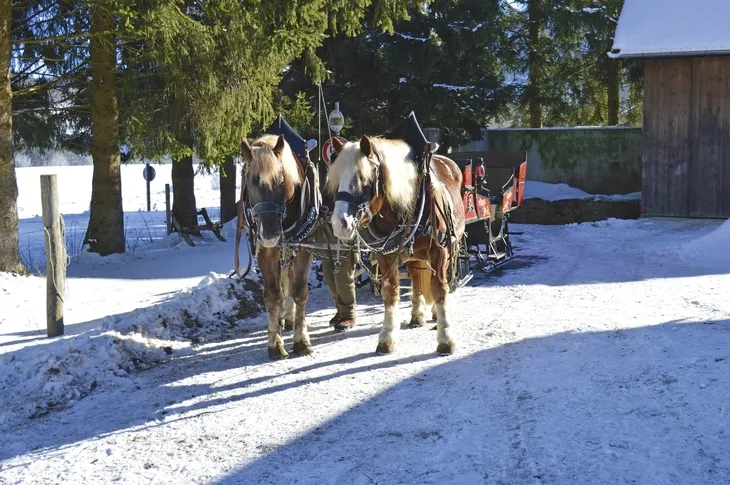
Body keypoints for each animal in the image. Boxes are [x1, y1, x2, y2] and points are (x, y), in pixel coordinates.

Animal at [239, 133, 316, 360]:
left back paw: (289, 317)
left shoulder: (304, 247)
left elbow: (300, 291)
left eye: (281, 180)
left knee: (289, 280)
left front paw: (301, 340)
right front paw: (275, 344)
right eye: (250, 182)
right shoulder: (266, 251)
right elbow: (272, 295)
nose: (270, 234)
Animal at [326, 135, 466, 355]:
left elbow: (440, 290)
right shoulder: (386, 255)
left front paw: (445, 338)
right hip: (412, 254)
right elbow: (390, 292)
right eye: (338, 178)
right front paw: (387, 337)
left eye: (362, 179)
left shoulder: (440, 251)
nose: (340, 224)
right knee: (416, 278)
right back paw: (417, 315)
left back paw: (434, 315)